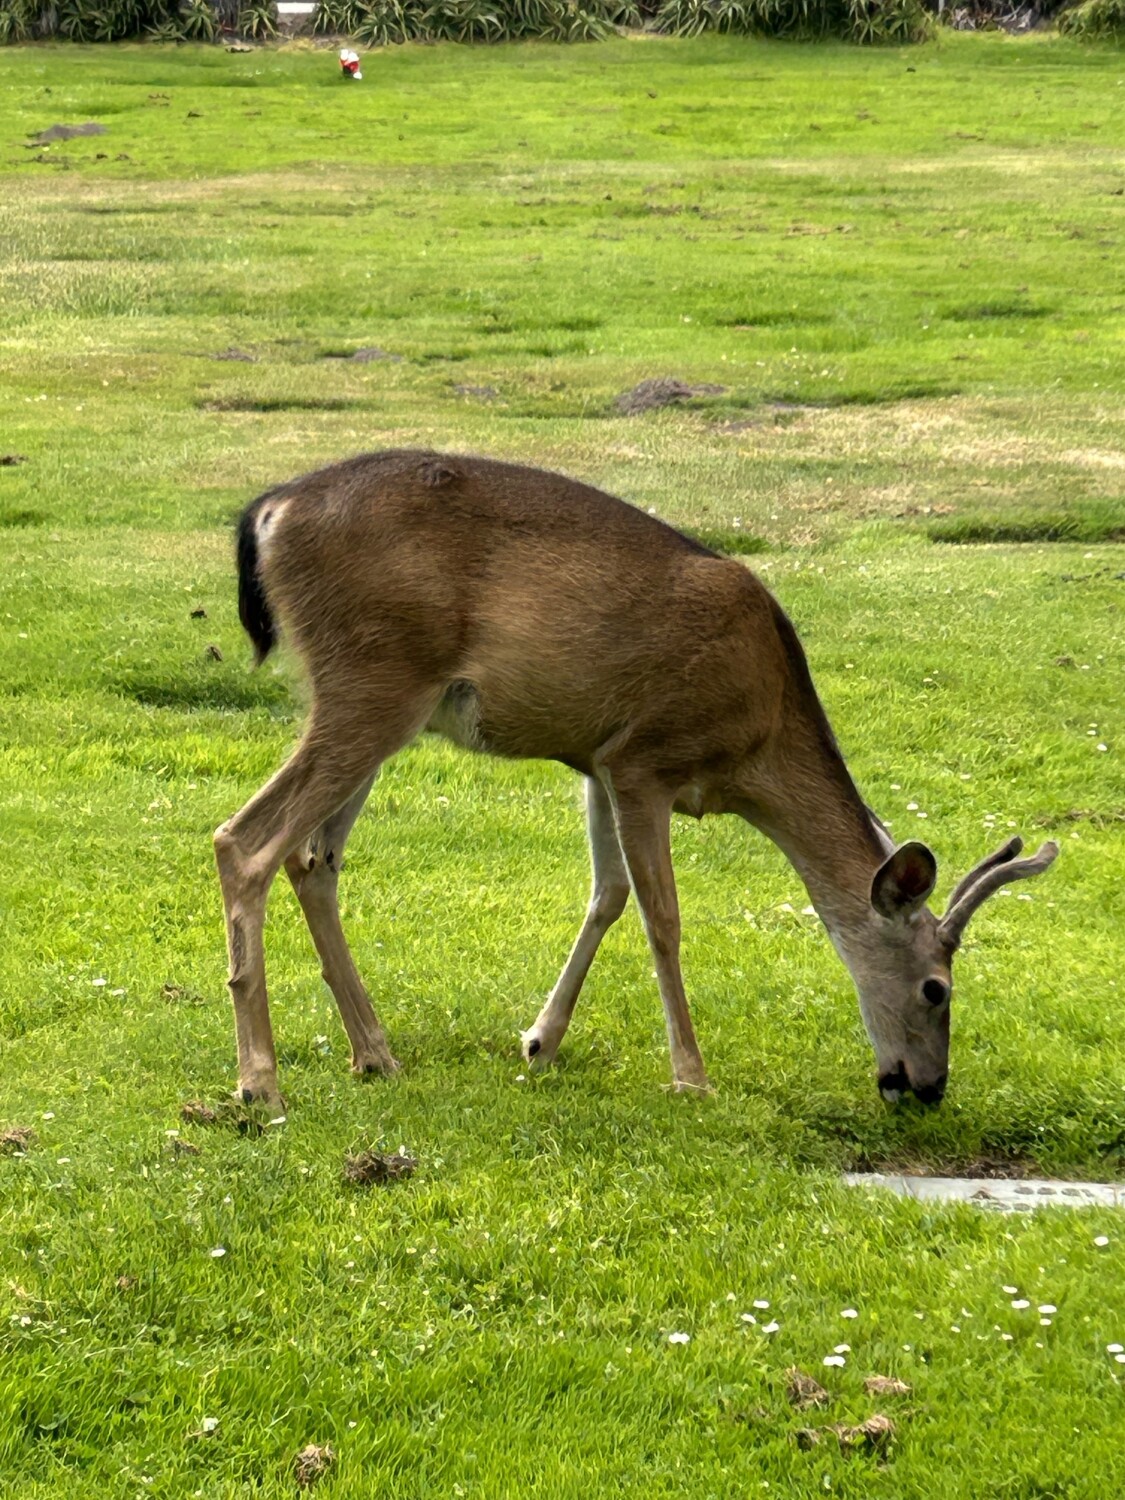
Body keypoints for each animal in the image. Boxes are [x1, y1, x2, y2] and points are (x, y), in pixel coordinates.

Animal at [214, 449, 1058, 1114]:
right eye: (935, 988)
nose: (924, 1088)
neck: (758, 738)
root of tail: (270, 511)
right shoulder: (646, 757)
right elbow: (663, 916)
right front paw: (691, 1075)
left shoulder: (596, 759)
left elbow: (607, 895)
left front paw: (540, 1041)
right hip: (374, 678)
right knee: (245, 841)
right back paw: (260, 1084)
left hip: (380, 699)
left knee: (312, 859)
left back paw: (374, 1053)